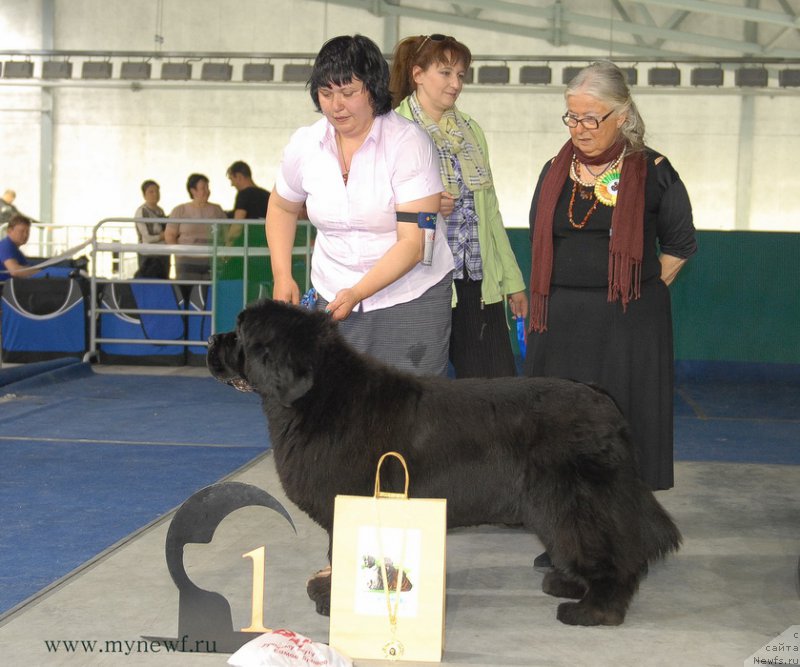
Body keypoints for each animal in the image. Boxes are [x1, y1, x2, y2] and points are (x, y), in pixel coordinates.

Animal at [208, 300, 680, 628]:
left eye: (240, 332)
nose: (211, 341)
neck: (317, 397)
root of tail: (604, 401)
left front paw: (331, 599)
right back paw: (568, 585)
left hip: (574, 500)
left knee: (613, 553)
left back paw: (594, 610)